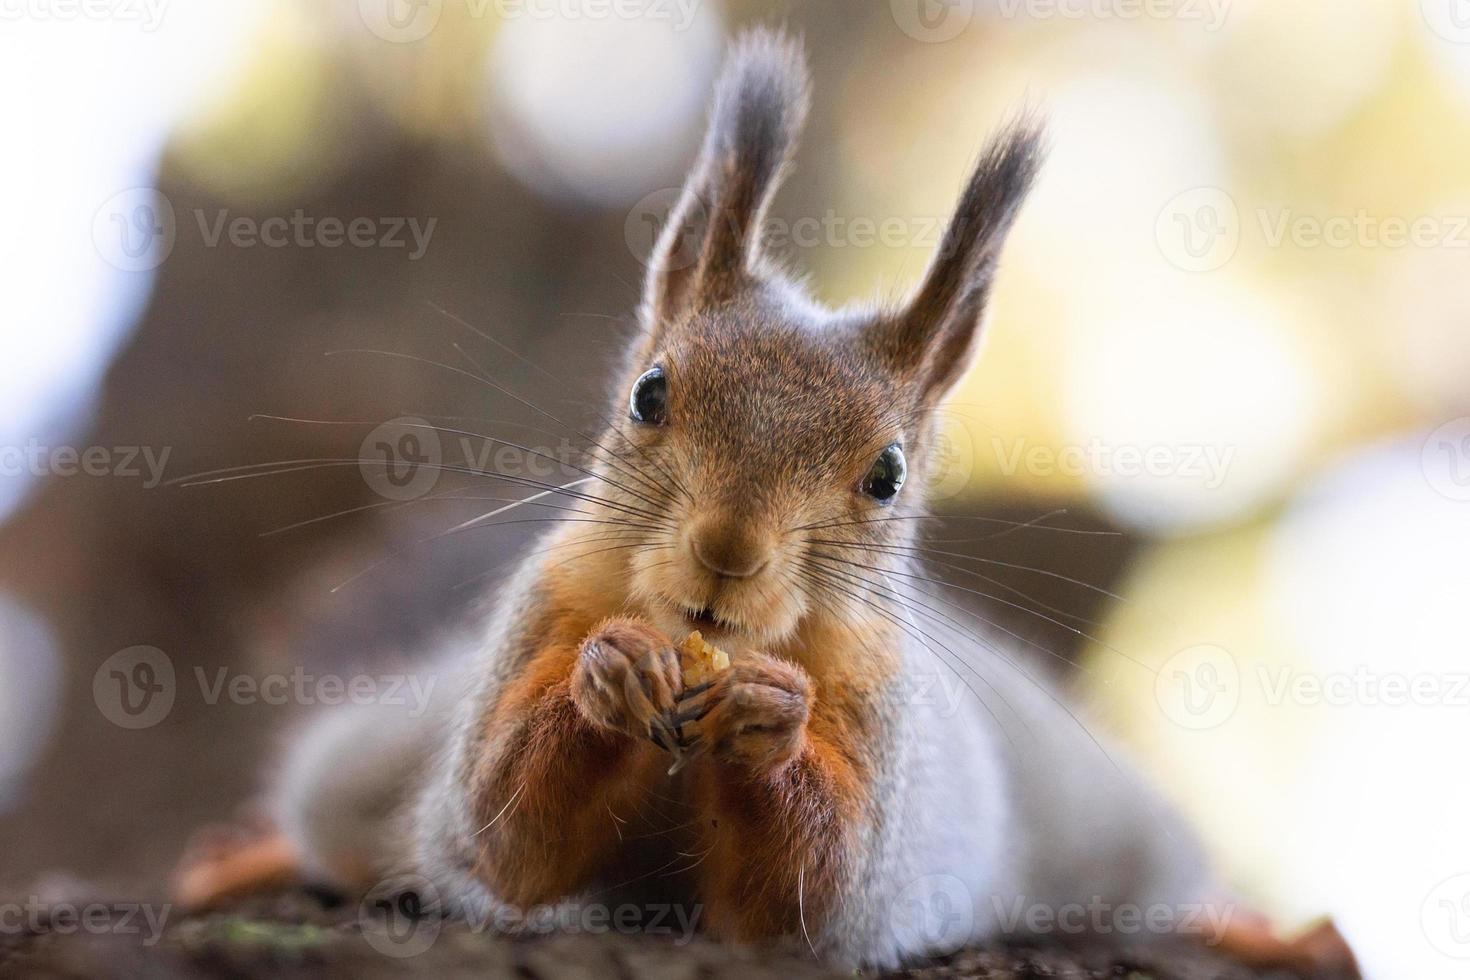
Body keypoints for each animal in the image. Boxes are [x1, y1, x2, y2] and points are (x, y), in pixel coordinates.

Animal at [174, 26, 1364, 975]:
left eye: (888, 473)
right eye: (650, 392)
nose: (728, 552)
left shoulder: (882, 733)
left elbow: (815, 896)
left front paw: (770, 716)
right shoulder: (538, 615)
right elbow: (498, 832)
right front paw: (610, 669)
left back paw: (1268, 930)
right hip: (375, 744)